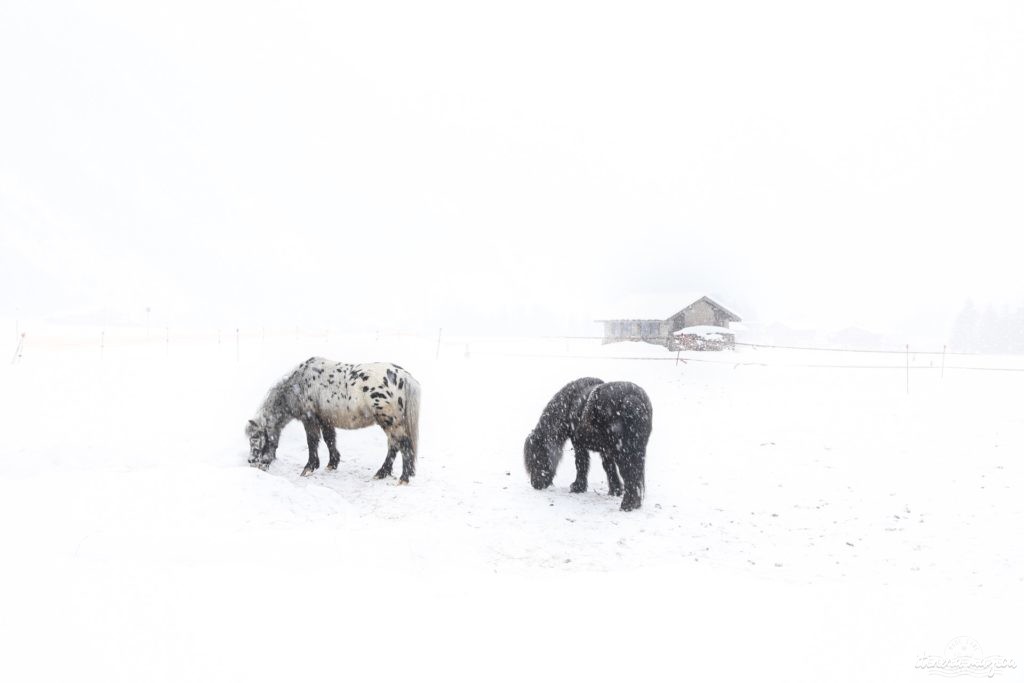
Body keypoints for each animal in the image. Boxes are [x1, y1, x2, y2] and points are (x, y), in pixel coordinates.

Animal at [246, 358, 419, 481]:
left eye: (255, 437)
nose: (251, 461)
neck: (297, 385)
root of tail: (403, 376)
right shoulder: (326, 420)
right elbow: (329, 439)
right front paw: (332, 464)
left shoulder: (309, 419)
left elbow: (312, 442)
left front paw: (309, 468)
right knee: (394, 445)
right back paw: (383, 473)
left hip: (390, 422)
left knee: (402, 445)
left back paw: (403, 478)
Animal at [524, 376, 651, 509]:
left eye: (537, 456)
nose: (535, 484)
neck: (570, 405)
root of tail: (631, 398)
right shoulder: (605, 450)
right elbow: (608, 467)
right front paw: (615, 490)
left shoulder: (578, 444)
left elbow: (581, 463)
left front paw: (578, 487)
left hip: (622, 451)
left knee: (630, 472)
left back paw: (628, 504)